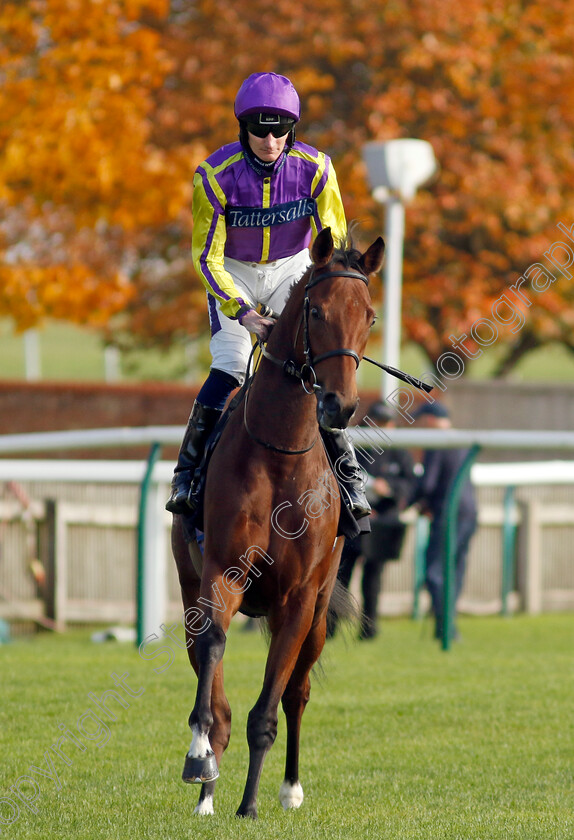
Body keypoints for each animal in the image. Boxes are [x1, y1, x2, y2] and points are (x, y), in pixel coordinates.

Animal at [171, 226, 388, 816]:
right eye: (314, 310)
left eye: (370, 315)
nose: (338, 405)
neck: (280, 454)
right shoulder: (221, 572)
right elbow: (214, 654)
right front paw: (200, 758)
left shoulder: (298, 597)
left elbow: (269, 708)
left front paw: (251, 804)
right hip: (188, 583)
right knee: (212, 675)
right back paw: (207, 792)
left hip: (318, 614)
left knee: (297, 692)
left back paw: (289, 788)